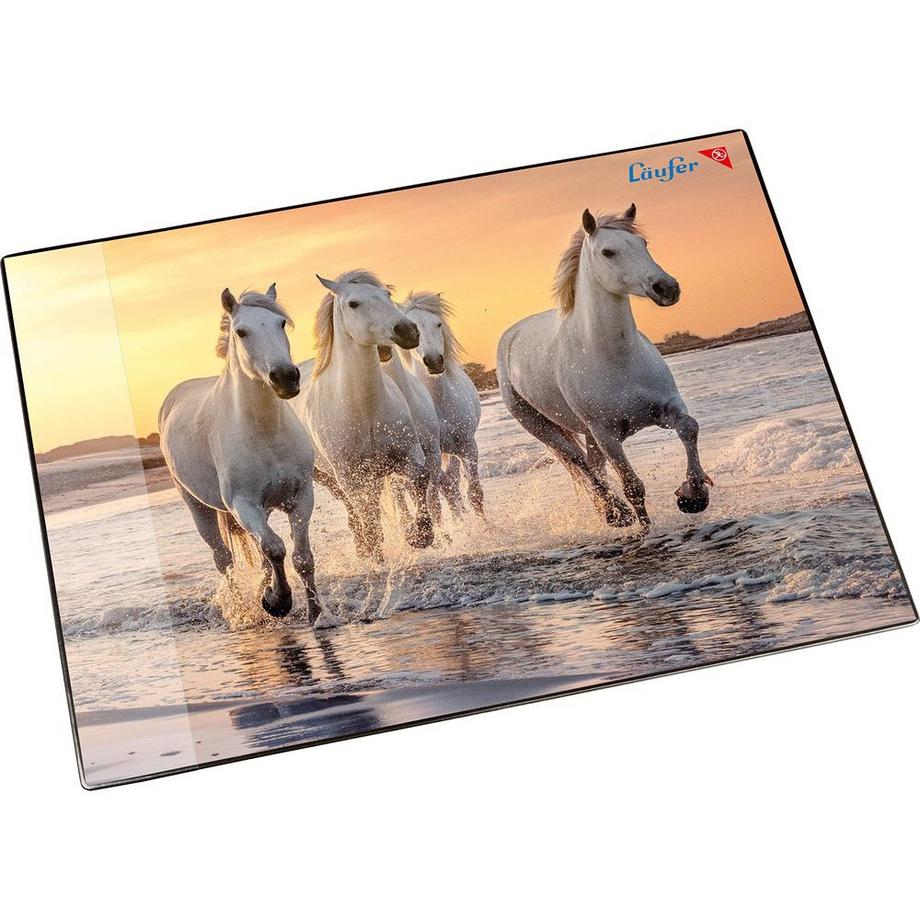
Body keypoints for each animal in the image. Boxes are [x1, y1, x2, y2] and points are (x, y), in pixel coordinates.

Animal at [158, 285, 321, 622]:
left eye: (281, 324)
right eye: (241, 332)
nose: (285, 377)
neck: (266, 432)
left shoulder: (301, 496)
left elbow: (301, 557)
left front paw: (316, 614)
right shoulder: (244, 505)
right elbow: (274, 548)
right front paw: (278, 602)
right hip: (199, 507)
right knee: (224, 560)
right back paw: (239, 608)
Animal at [293, 270, 435, 562]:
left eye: (387, 295)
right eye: (353, 304)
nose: (407, 331)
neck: (364, 408)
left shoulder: (408, 453)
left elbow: (419, 477)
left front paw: (420, 535)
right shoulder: (349, 475)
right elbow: (365, 512)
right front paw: (374, 550)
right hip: (329, 478)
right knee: (354, 509)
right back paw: (364, 547)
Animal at [400, 292, 484, 517]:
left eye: (438, 324)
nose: (434, 361)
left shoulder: (467, 446)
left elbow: (474, 494)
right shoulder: (430, 456)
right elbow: (436, 498)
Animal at [496, 205, 712, 529]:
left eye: (643, 244)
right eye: (608, 252)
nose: (666, 288)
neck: (616, 358)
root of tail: (511, 336)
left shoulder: (666, 407)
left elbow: (689, 428)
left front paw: (694, 495)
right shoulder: (606, 434)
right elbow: (633, 487)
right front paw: (645, 528)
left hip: (585, 433)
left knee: (593, 466)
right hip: (542, 427)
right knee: (581, 464)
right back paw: (615, 513)